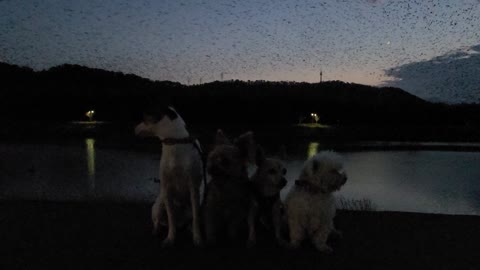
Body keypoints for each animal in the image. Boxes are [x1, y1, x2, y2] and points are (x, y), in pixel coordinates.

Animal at [134, 105, 203, 247]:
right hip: (159, 206)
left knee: (190, 218)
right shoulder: (167, 189)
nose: (133, 129)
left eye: (144, 118)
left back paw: (188, 228)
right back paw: (157, 231)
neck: (175, 142)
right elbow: (171, 218)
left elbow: (196, 218)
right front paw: (170, 239)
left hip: (188, 208)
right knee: (159, 221)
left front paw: (197, 238)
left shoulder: (194, 187)